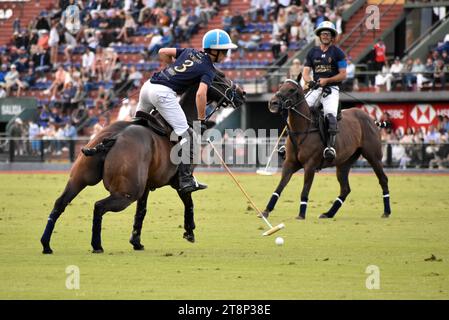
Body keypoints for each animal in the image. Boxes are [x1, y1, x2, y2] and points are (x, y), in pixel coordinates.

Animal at [40, 74, 245, 254]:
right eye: (220, 76)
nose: (242, 94)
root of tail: (114, 137)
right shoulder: (179, 183)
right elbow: (189, 201)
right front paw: (189, 231)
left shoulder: (146, 186)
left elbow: (142, 211)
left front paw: (136, 241)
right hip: (127, 192)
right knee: (99, 206)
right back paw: (96, 245)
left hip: (81, 178)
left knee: (60, 203)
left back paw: (46, 245)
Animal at [260, 75, 390, 220]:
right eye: (280, 86)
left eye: (292, 89)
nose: (273, 103)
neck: (302, 129)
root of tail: (372, 119)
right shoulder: (289, 163)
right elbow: (279, 187)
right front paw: (266, 211)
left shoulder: (310, 165)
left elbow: (305, 190)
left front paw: (301, 214)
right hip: (344, 162)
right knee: (345, 189)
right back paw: (328, 213)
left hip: (373, 156)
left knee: (383, 179)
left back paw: (386, 211)